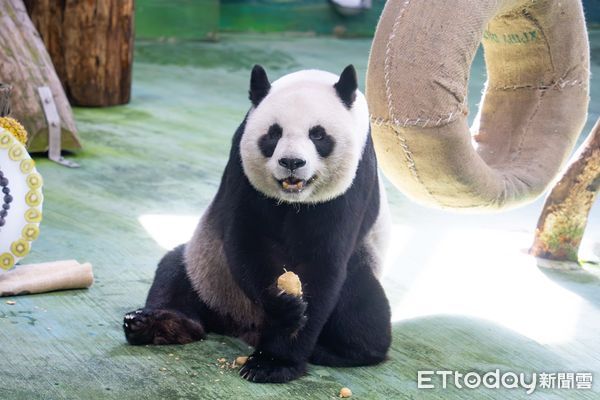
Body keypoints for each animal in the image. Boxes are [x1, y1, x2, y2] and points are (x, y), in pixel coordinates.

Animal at [123, 64, 392, 382]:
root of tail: (241, 327)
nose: (292, 162)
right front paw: (282, 307)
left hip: (362, 265)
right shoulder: (241, 166)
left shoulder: (353, 181)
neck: (294, 201)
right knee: (174, 271)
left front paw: (275, 361)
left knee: (362, 306)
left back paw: (336, 352)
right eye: (273, 134)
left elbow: (322, 261)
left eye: (318, 135)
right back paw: (158, 325)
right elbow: (248, 237)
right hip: (207, 267)